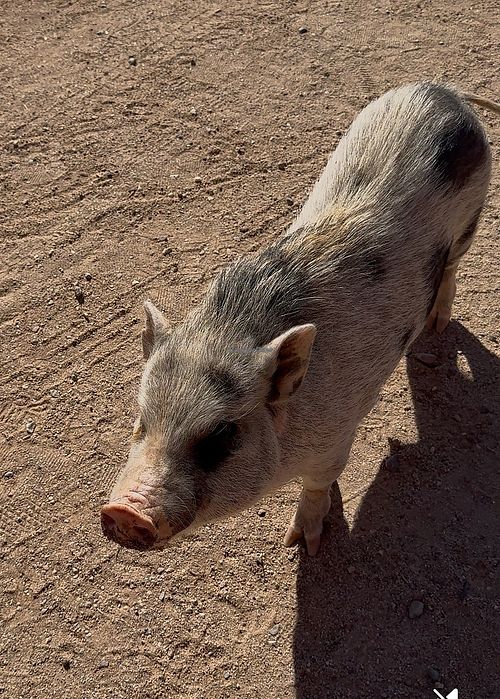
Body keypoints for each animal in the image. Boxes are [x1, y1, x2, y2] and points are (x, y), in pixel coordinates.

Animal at [101, 82, 499, 555]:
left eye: (221, 436)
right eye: (142, 421)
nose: (123, 512)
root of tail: (443, 91)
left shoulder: (336, 438)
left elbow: (318, 485)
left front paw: (301, 544)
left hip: (472, 216)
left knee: (452, 270)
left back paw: (438, 324)